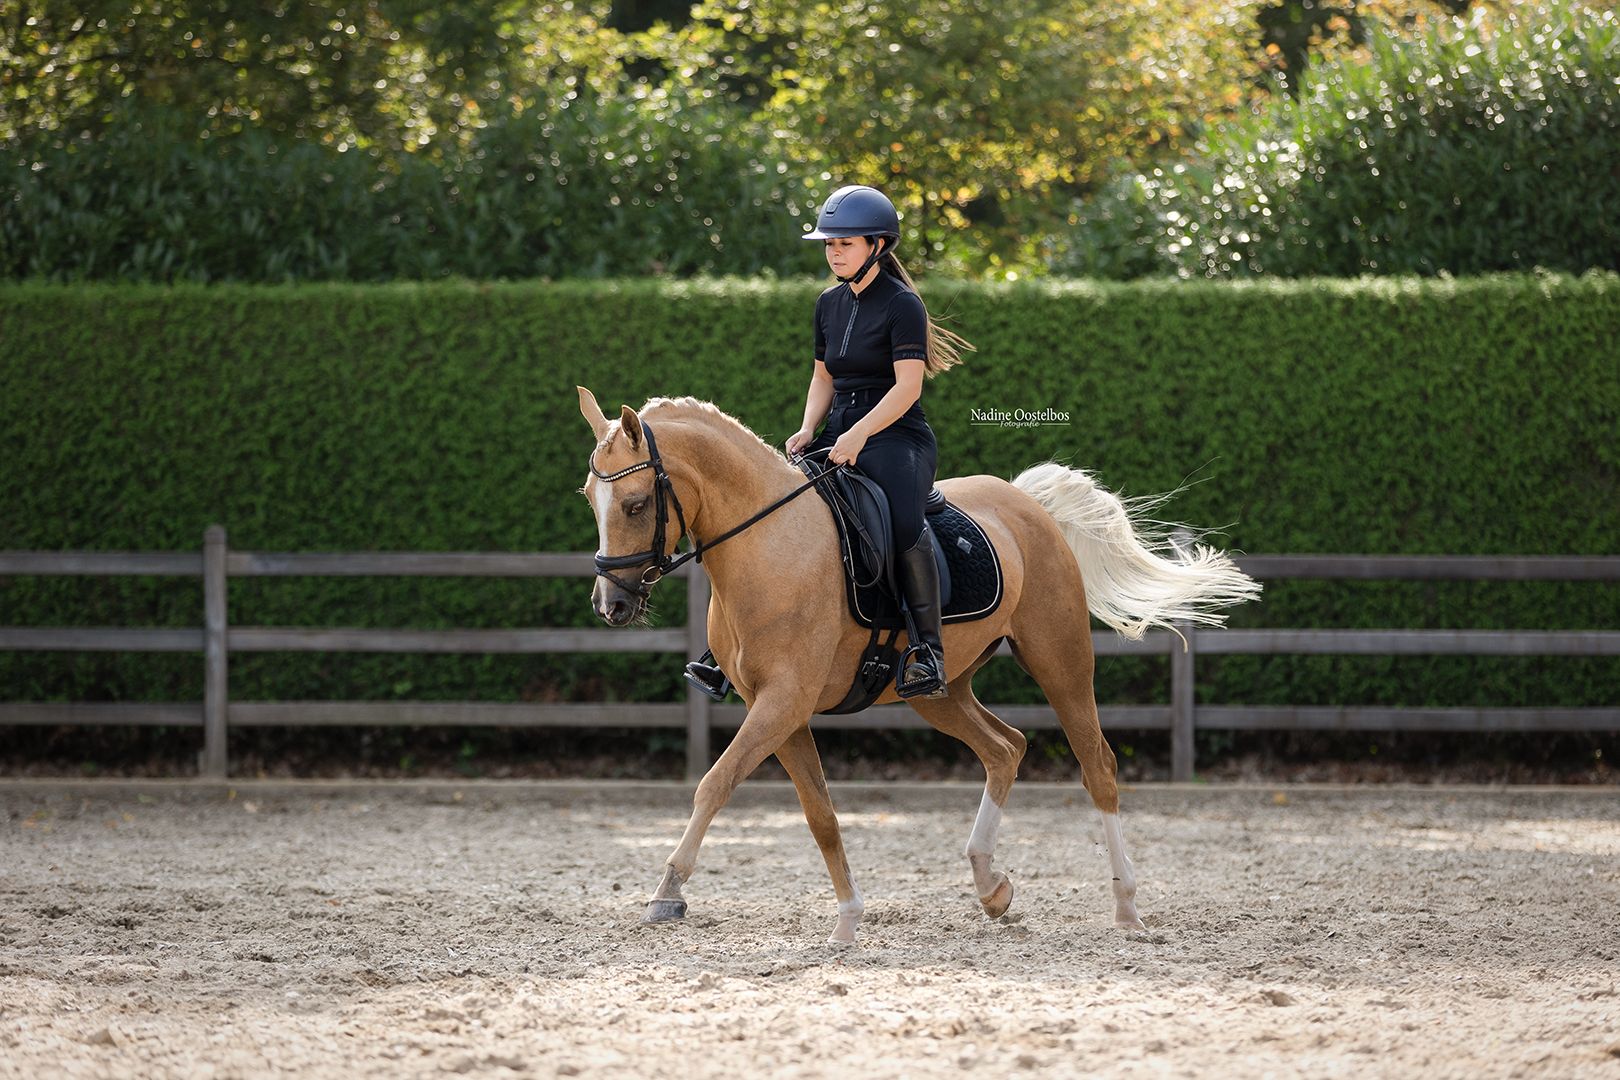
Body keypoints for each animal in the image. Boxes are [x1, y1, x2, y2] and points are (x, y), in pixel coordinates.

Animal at [577, 388, 1260, 944]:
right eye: (590, 498)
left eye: (634, 504)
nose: (611, 605)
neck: (770, 545)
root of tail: (1025, 502)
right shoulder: (779, 711)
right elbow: (821, 815)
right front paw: (848, 919)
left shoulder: (782, 703)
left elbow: (714, 784)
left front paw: (668, 892)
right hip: (939, 689)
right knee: (1005, 748)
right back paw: (992, 887)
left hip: (1060, 661)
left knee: (1099, 768)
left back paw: (1126, 908)